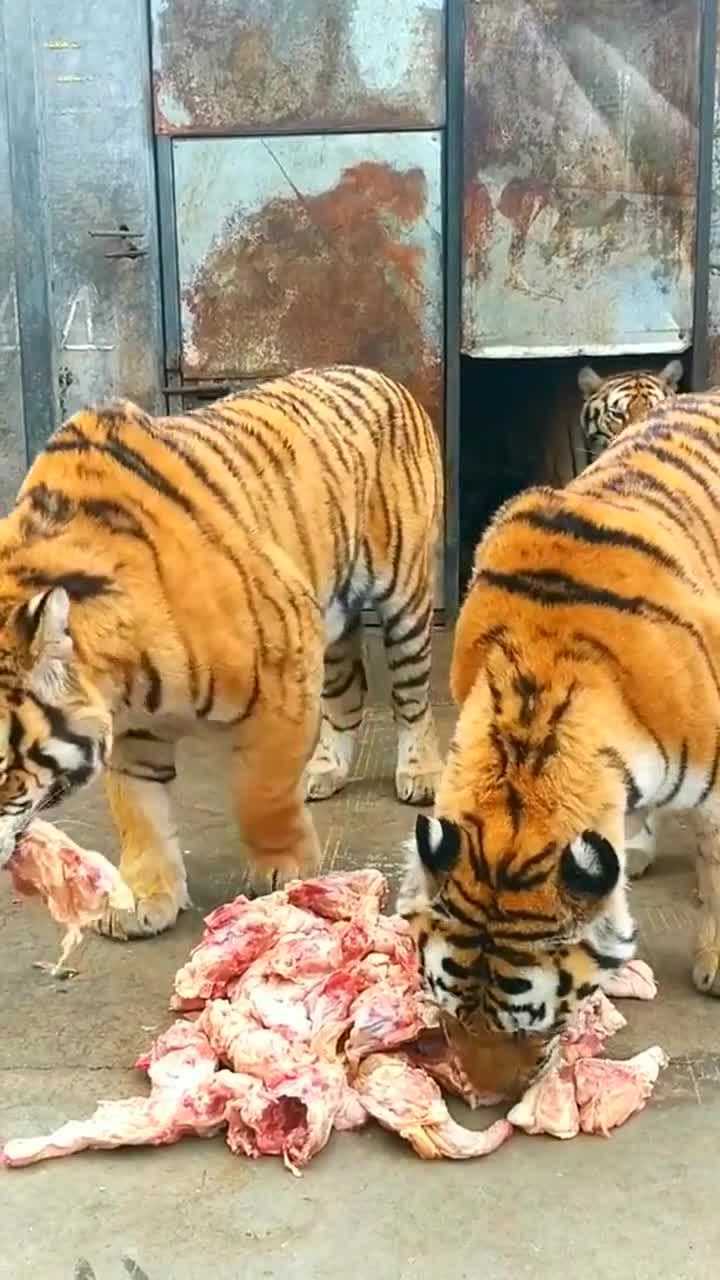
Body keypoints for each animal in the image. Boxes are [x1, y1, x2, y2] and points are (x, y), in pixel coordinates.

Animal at [0, 365, 442, 939]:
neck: (124, 683)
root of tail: (377, 373)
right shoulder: (132, 728)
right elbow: (138, 810)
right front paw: (146, 896)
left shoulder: (283, 666)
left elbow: (262, 792)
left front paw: (284, 872)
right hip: (334, 622)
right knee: (348, 698)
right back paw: (325, 769)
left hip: (405, 597)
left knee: (412, 696)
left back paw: (420, 773)